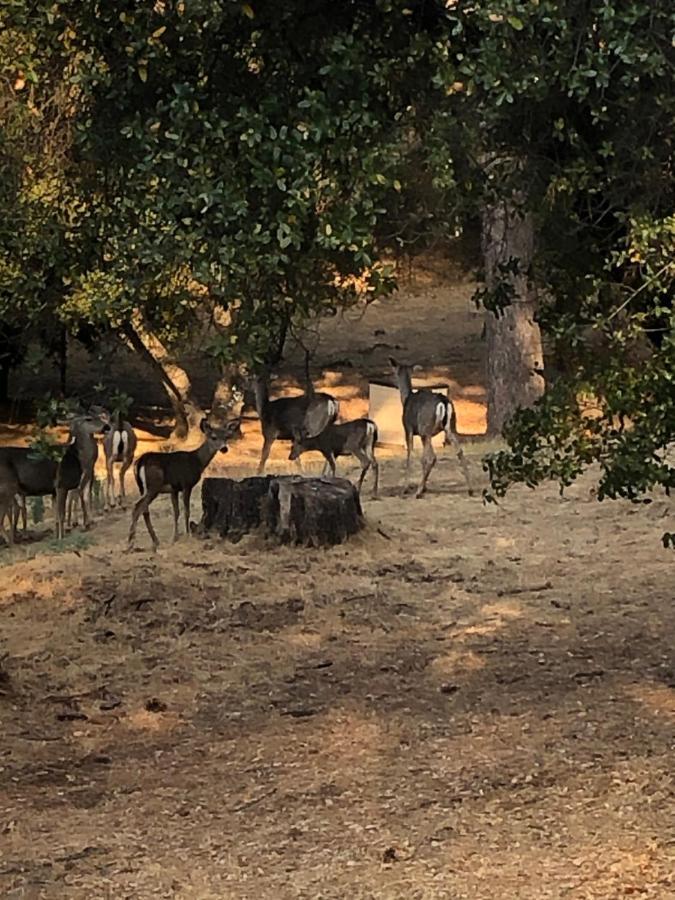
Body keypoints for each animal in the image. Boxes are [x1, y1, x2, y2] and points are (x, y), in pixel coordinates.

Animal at [128, 416, 242, 556]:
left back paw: (155, 540)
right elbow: (186, 510)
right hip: (153, 486)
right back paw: (131, 543)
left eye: (226, 436)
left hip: (142, 488)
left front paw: (175, 537)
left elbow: (176, 512)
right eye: (214, 437)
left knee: (144, 510)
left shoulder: (174, 489)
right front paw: (187, 534)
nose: (224, 448)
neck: (197, 461)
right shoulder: (187, 484)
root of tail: (139, 462)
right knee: (137, 507)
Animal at [388, 358, 472, 500]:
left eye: (394, 372)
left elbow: (410, 454)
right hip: (450, 427)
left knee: (431, 457)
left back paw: (417, 492)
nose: (393, 382)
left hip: (425, 428)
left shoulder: (408, 428)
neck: (406, 399)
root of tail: (443, 402)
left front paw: (406, 488)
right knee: (459, 451)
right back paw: (470, 489)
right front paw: (424, 486)